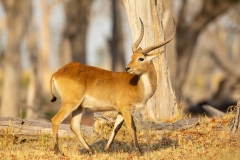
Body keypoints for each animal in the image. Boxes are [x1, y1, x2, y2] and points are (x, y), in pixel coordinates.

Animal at [49, 17, 175, 154]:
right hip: (70, 104)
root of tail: (57, 72)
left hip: (79, 107)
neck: (138, 86)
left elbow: (116, 128)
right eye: (133, 56)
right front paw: (139, 152)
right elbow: (132, 127)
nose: (127, 68)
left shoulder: (120, 111)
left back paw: (91, 150)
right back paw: (57, 151)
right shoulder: (126, 109)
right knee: (56, 120)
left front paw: (107, 149)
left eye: (140, 58)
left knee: (74, 126)